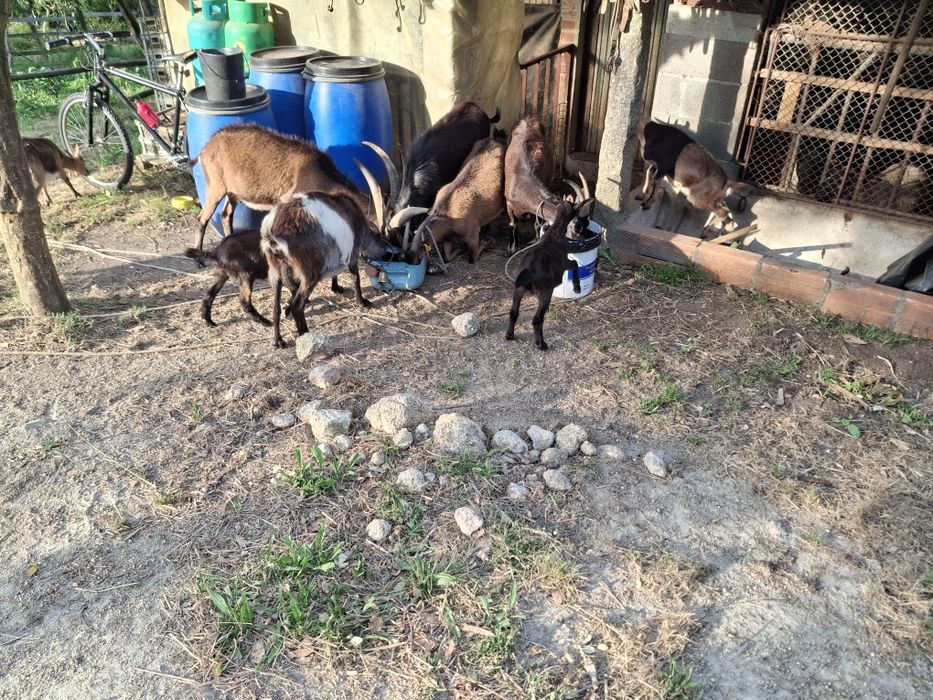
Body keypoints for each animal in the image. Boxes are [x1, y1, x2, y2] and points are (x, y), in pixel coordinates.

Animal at [189, 124, 382, 253]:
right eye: (377, 228)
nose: (386, 247)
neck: (318, 171)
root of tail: (205, 150)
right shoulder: (289, 200)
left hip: (233, 192)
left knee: (226, 214)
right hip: (216, 186)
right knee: (202, 218)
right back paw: (198, 256)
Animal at [260, 183, 398, 348]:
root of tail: (272, 234)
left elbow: (336, 271)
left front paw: (336, 287)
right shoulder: (353, 250)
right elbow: (355, 276)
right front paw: (362, 302)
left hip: (274, 271)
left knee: (276, 308)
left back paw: (278, 340)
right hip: (310, 272)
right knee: (297, 305)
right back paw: (305, 333)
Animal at [505, 198, 593, 351]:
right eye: (576, 211)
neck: (555, 231)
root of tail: (527, 273)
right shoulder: (564, 262)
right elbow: (575, 264)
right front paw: (577, 288)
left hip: (518, 289)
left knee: (513, 312)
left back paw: (509, 335)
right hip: (544, 291)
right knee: (536, 319)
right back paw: (541, 343)